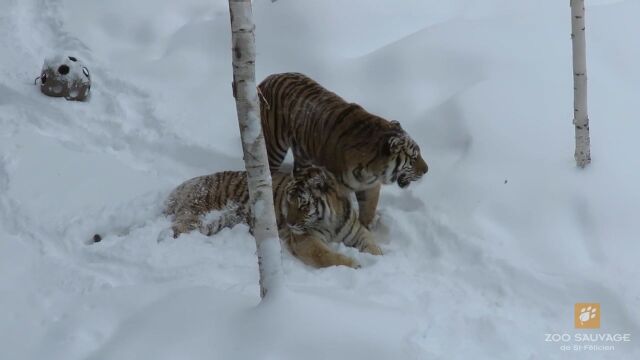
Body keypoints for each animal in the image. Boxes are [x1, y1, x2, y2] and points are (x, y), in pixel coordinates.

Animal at [168, 166, 382, 268]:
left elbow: (372, 244)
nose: (290, 223)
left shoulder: (357, 231)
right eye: (288, 201)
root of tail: (183, 186)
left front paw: (380, 257)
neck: (331, 222)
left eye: (304, 204)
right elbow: (325, 255)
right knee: (178, 227)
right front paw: (354, 264)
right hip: (196, 214)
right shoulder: (305, 239)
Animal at [258, 71, 428, 226]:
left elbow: (368, 212)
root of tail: (269, 78)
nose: (427, 170)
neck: (371, 170)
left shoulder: (371, 188)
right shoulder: (339, 188)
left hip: (303, 154)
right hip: (274, 148)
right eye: (413, 158)